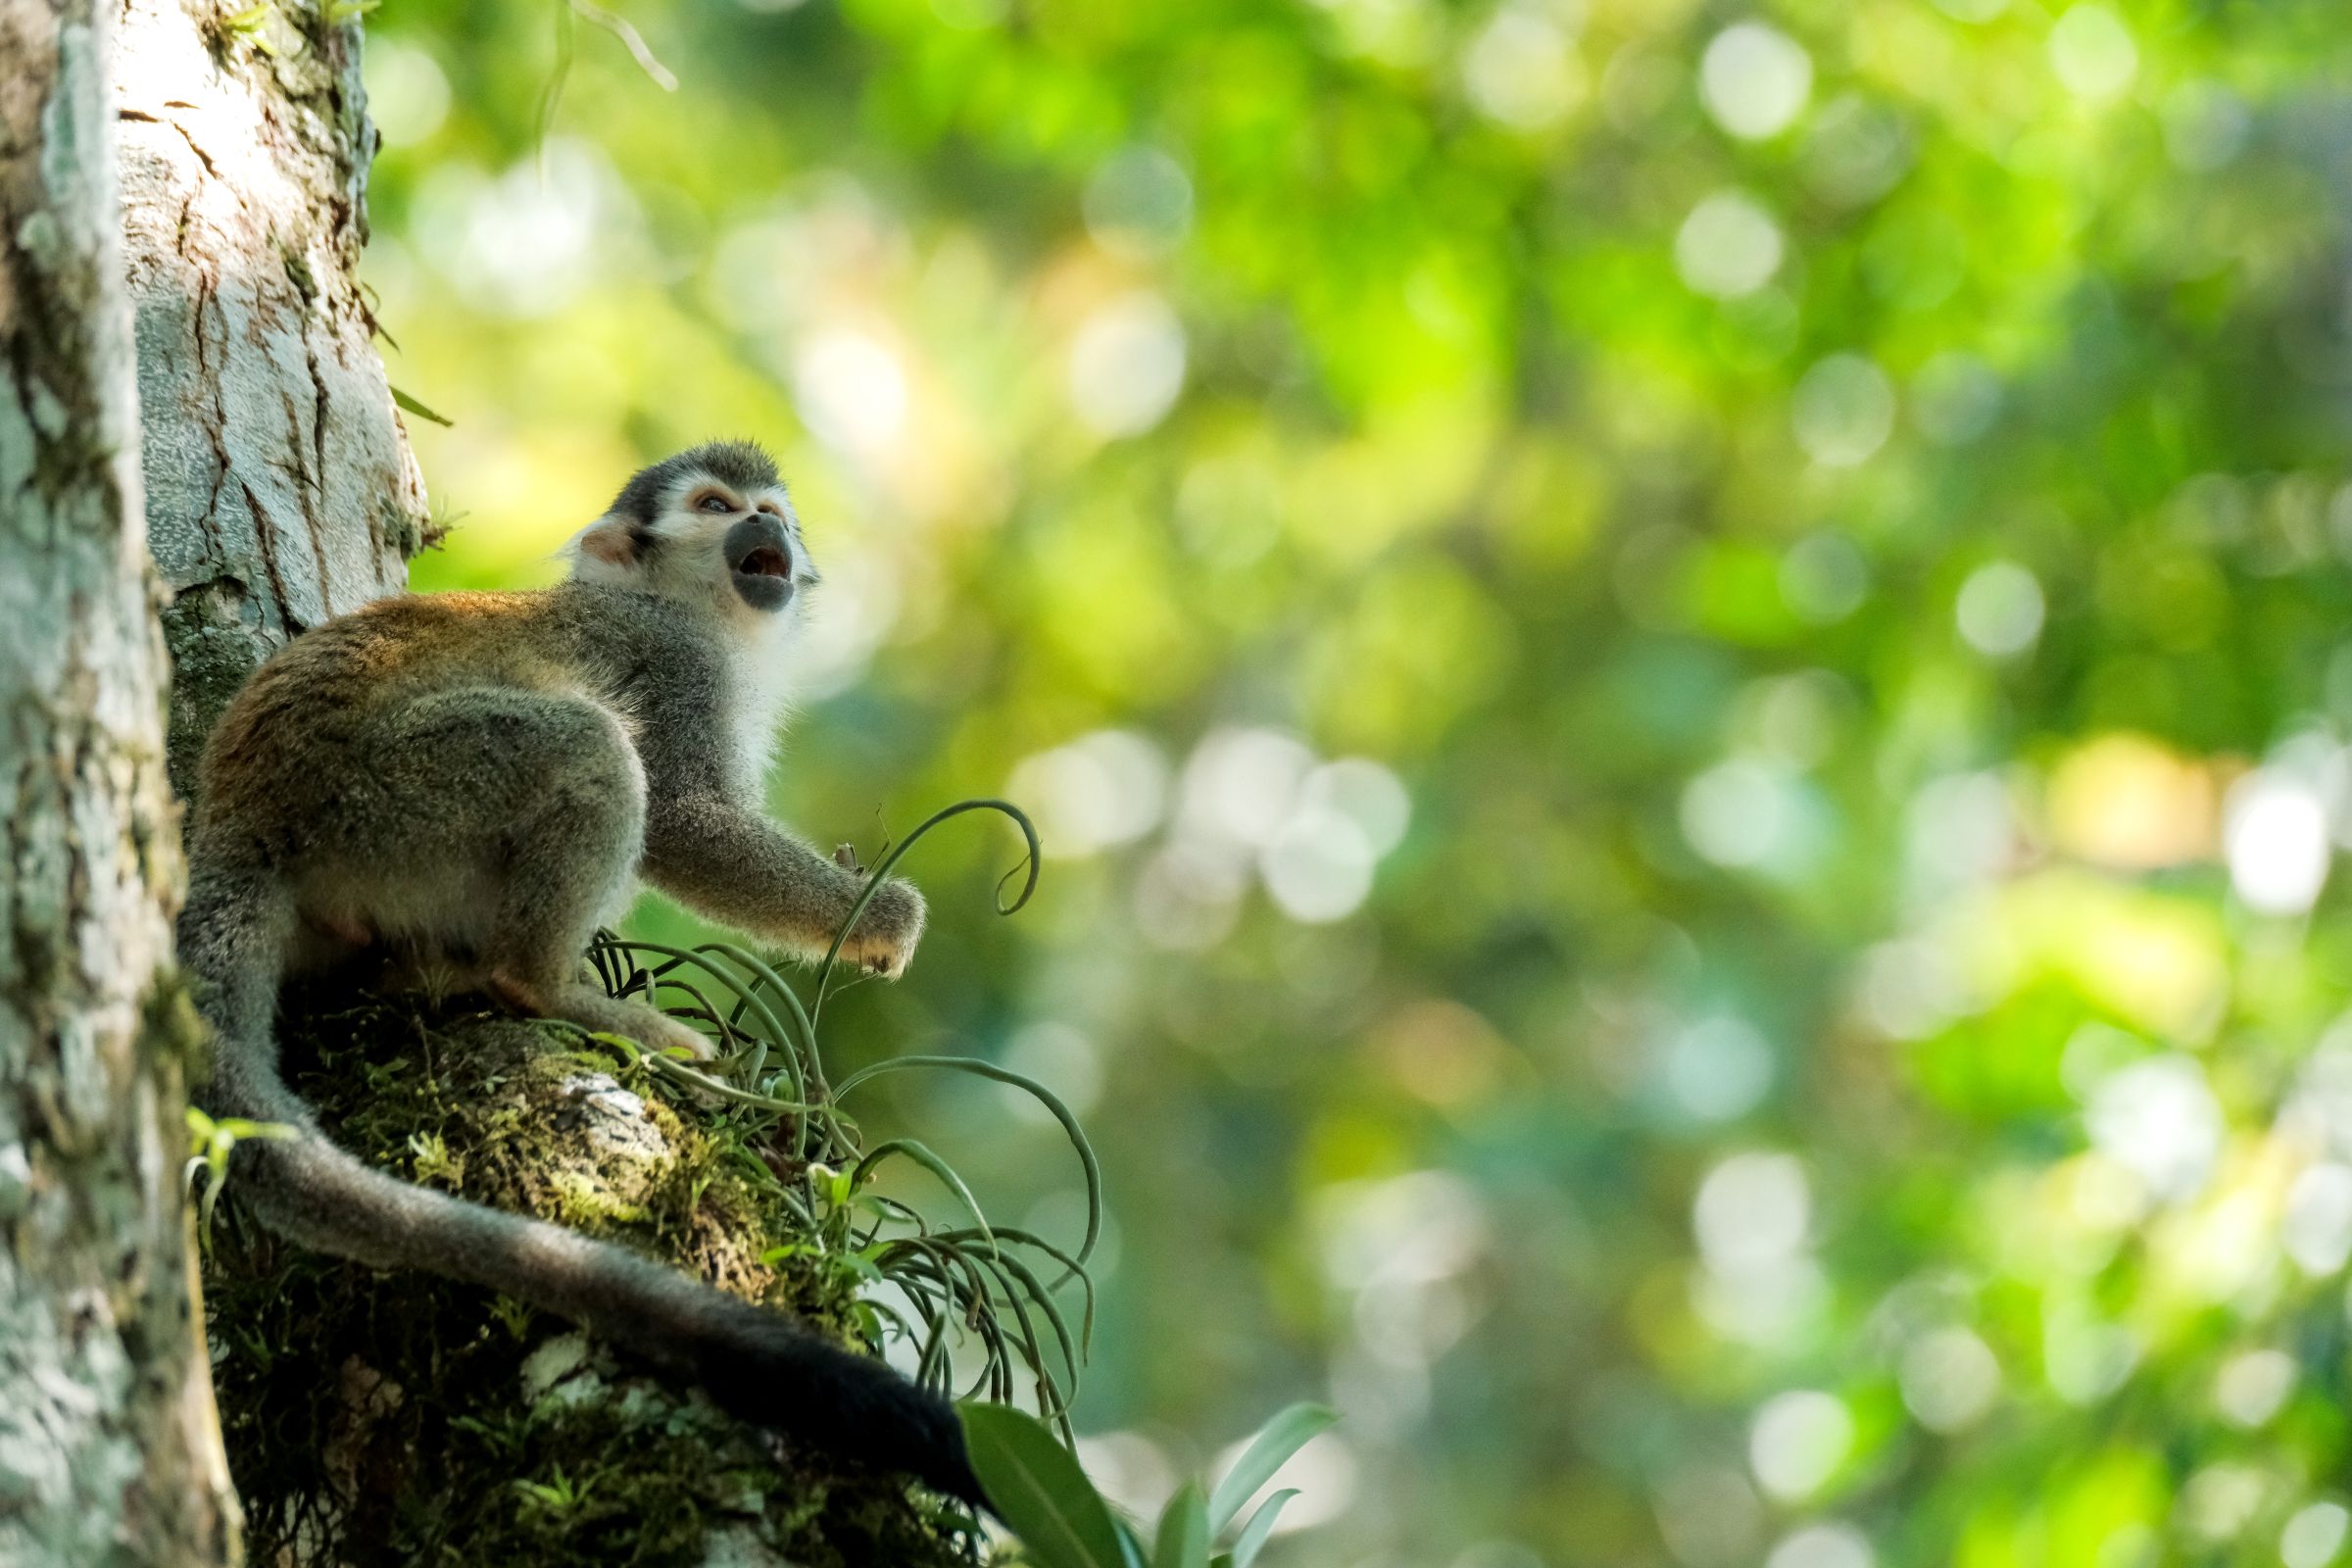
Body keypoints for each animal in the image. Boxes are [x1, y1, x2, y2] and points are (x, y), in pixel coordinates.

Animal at [174, 440, 985, 1508]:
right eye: (715, 507)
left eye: (770, 511)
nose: (763, 530)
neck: (691, 611)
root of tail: (246, 815)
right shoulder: (676, 665)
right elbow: (683, 818)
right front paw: (881, 918)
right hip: (386, 796)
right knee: (588, 740)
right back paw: (549, 986)